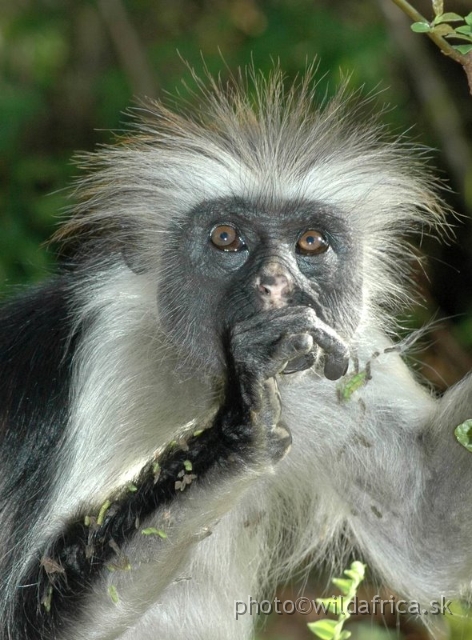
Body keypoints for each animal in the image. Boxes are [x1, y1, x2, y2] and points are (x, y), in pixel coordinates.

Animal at [0, 67, 472, 636]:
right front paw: (245, 423)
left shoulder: (337, 362)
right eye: (226, 238)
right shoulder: (107, 353)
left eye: (311, 243)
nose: (274, 284)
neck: (196, 371)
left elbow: (430, 533)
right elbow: (25, 614)